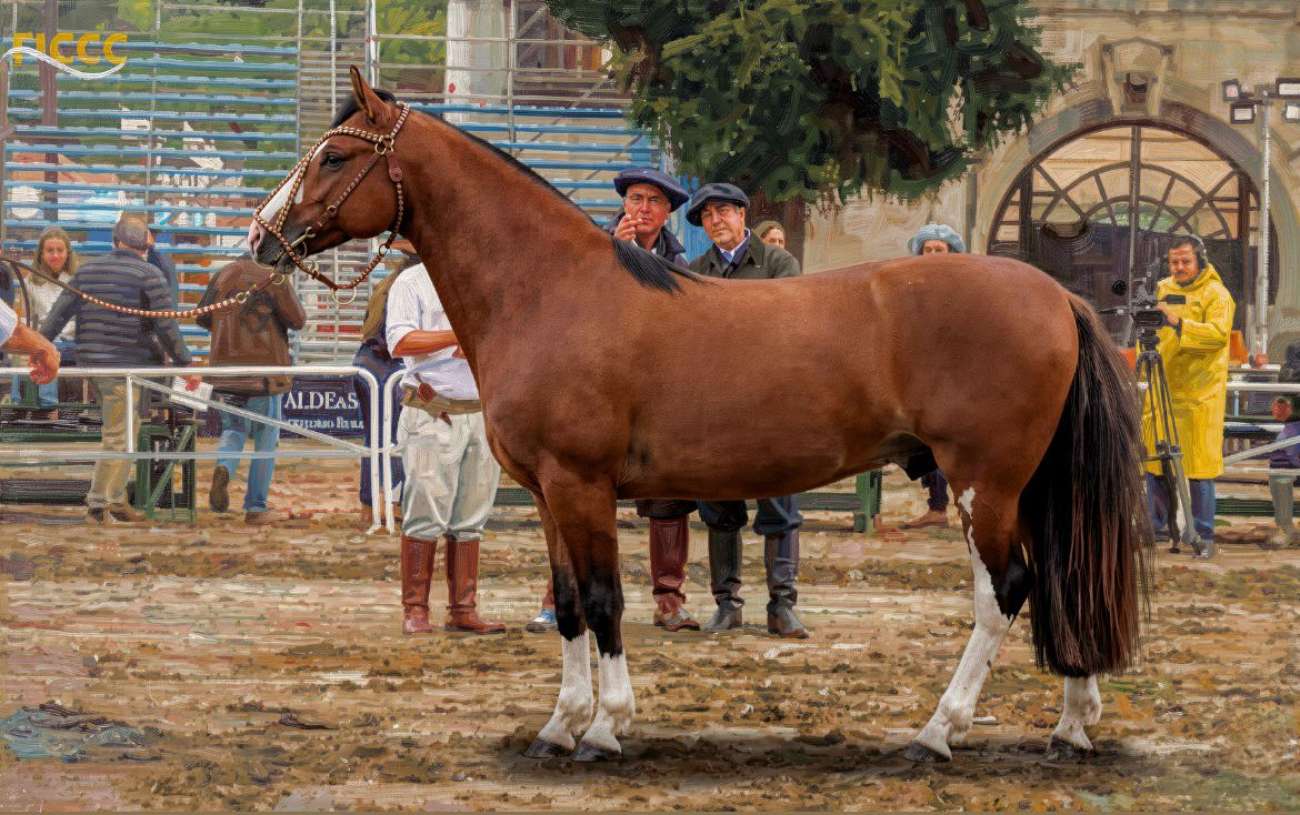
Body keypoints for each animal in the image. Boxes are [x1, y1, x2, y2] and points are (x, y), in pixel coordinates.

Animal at [249, 67, 1150, 763]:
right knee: (1056, 577)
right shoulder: (546, 494)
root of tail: (1056, 295)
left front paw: (604, 729)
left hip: (982, 483)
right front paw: (558, 725)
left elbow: (605, 600)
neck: (550, 290)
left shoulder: (581, 485)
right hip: (1018, 488)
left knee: (1008, 588)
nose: (262, 237)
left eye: (333, 156)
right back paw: (1072, 726)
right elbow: (568, 602)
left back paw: (938, 731)